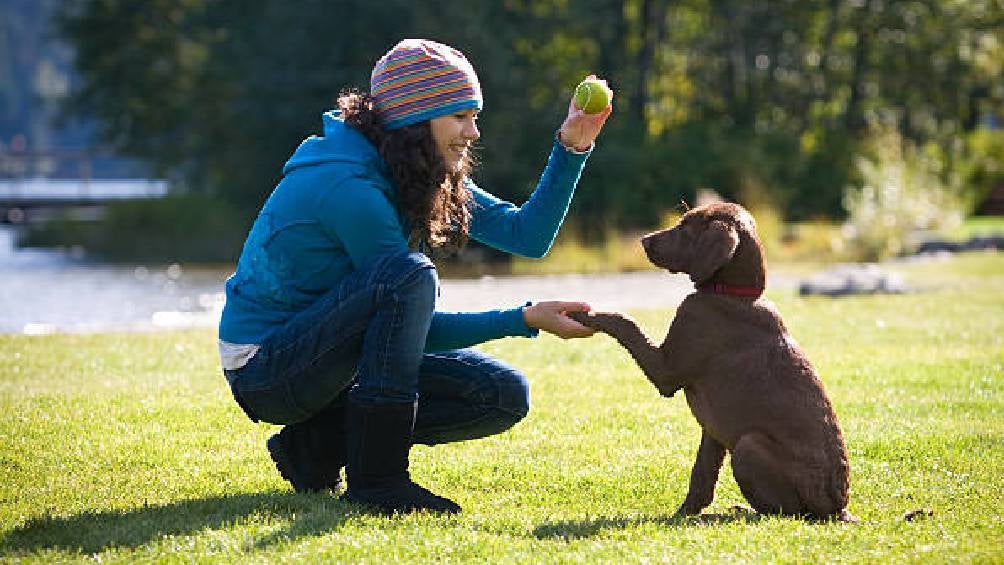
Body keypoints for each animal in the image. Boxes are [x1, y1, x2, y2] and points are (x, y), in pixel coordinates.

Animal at [570, 202, 851, 521]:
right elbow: (702, 474)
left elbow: (624, 321)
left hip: (748, 446)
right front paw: (686, 512)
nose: (643, 240)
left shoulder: (666, 370)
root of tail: (837, 509)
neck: (735, 295)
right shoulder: (713, 429)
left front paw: (585, 314)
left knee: (784, 512)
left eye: (684, 227)